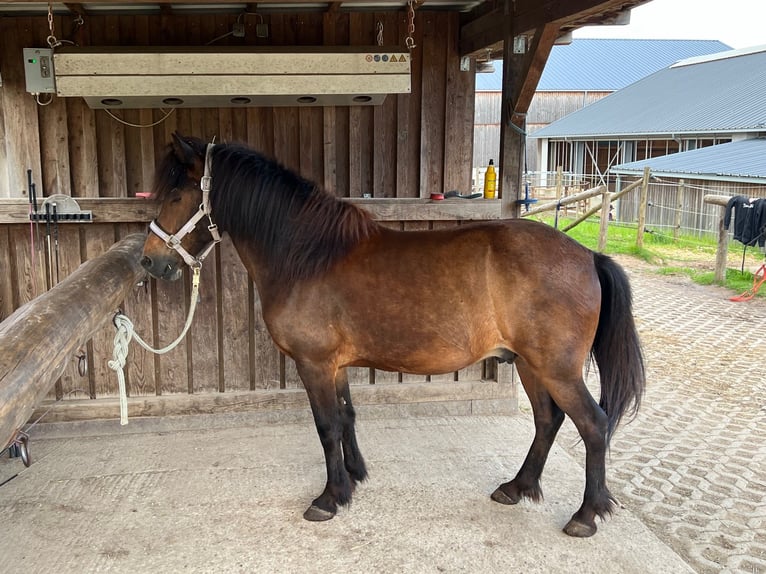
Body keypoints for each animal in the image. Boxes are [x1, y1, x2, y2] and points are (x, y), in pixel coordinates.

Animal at [140, 132, 645, 537]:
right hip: (529, 364)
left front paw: (329, 498)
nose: (149, 261)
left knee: (593, 425)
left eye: (177, 194)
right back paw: (516, 487)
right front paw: (354, 477)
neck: (307, 255)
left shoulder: (314, 364)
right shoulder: (335, 365)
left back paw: (585, 515)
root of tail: (588, 256)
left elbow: (326, 426)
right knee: (547, 421)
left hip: (556, 368)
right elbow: (346, 417)